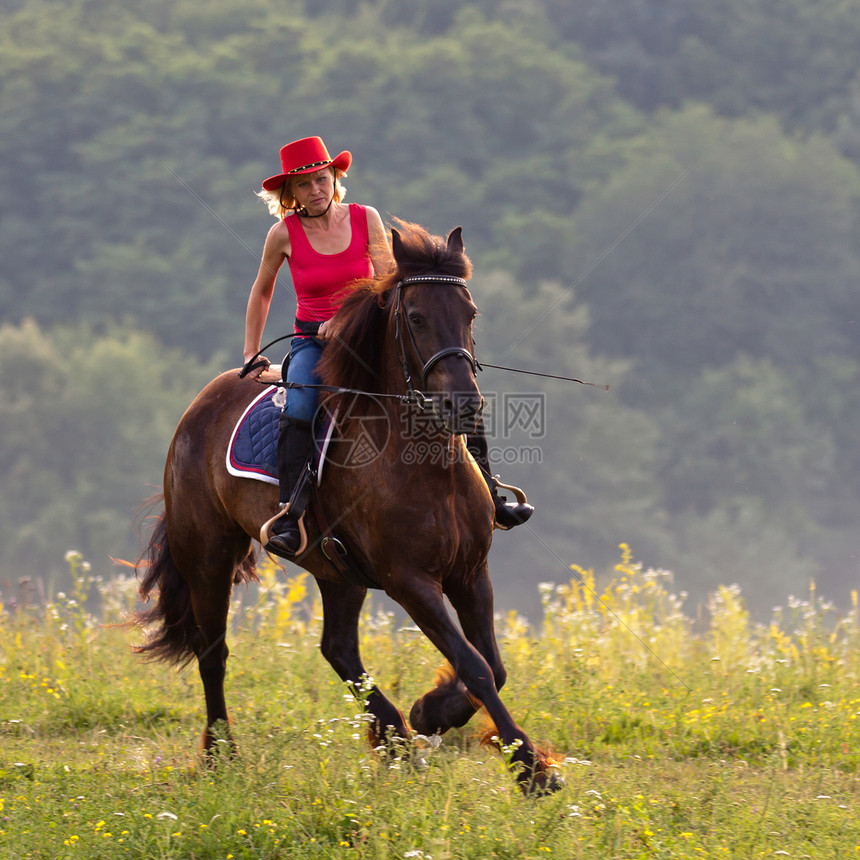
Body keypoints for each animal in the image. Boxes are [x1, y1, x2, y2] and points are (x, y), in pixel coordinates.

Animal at [134, 220, 556, 792]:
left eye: (470, 313)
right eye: (416, 317)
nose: (463, 405)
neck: (426, 466)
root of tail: (203, 402)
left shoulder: (470, 572)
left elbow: (493, 664)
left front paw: (431, 712)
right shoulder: (410, 581)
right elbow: (475, 666)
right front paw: (530, 769)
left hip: (337, 571)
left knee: (337, 649)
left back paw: (396, 737)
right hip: (208, 555)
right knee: (213, 653)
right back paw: (222, 754)